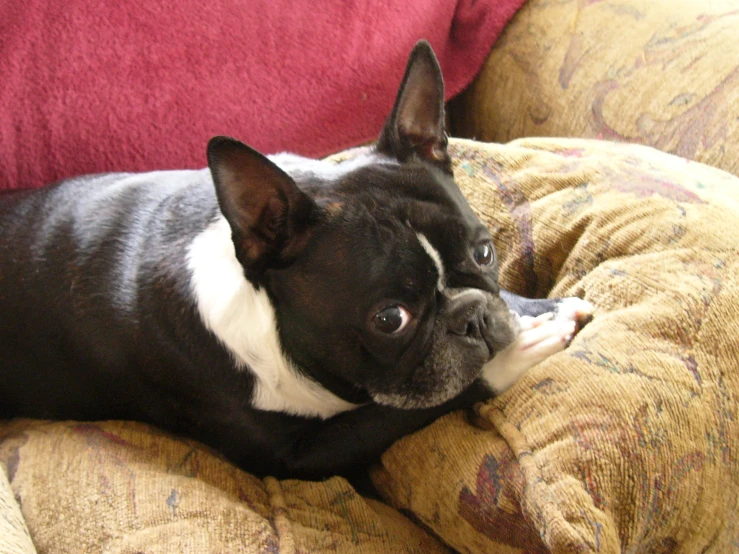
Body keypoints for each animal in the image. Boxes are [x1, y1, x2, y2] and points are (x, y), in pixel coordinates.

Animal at [0, 42, 592, 478]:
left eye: (485, 251)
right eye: (389, 318)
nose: (474, 318)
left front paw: (537, 309)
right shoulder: (297, 458)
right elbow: (408, 409)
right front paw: (519, 352)